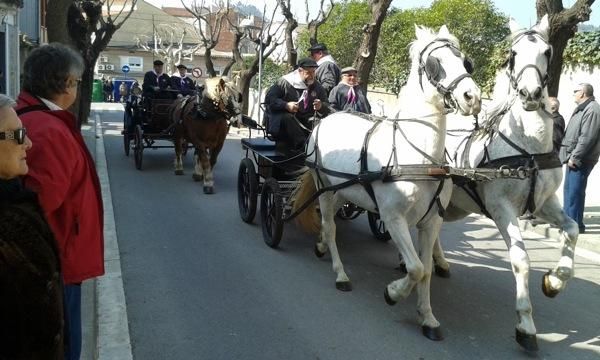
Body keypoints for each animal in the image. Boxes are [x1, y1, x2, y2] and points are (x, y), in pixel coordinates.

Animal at [292, 24, 480, 340]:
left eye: (465, 61)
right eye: (435, 63)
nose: (472, 97)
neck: (419, 158)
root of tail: (323, 119)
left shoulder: (432, 221)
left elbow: (426, 270)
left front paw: (427, 317)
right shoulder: (393, 219)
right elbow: (415, 269)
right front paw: (393, 293)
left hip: (344, 191)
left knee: (331, 222)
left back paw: (320, 246)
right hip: (323, 187)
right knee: (330, 227)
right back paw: (340, 272)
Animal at [432, 15, 576, 350]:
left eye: (547, 51)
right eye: (513, 54)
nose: (530, 94)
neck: (528, 147)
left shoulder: (546, 203)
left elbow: (573, 229)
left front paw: (555, 280)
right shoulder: (501, 208)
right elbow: (521, 259)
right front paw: (526, 324)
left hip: (454, 204)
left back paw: (437, 262)